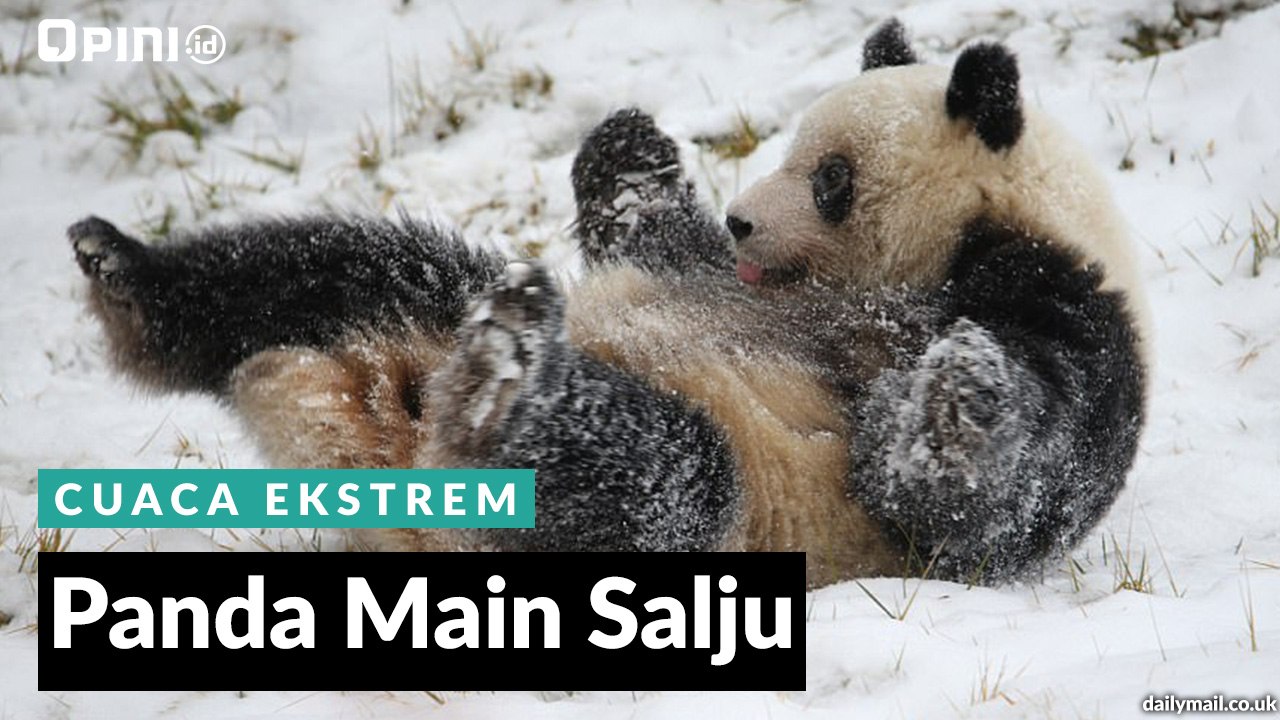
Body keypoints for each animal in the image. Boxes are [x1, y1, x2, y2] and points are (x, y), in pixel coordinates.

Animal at [67, 20, 1147, 588]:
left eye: (831, 177)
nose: (746, 219)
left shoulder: (1071, 314)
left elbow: (982, 496)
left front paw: (955, 401)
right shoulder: (702, 269)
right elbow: (653, 236)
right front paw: (631, 158)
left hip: (724, 520)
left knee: (661, 473)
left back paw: (499, 395)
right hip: (429, 296)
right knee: (344, 266)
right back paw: (128, 279)